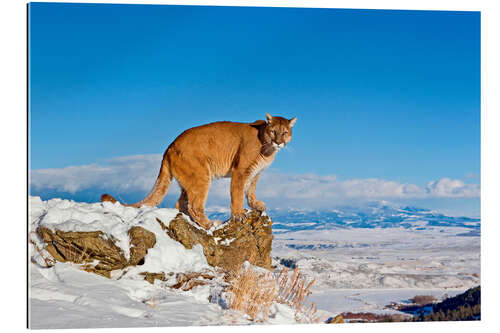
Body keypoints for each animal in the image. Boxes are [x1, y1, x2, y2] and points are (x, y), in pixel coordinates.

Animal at [101, 113, 296, 228]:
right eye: (274, 131)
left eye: (285, 132)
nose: (279, 142)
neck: (266, 147)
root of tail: (169, 147)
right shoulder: (240, 171)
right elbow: (238, 194)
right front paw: (238, 215)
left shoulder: (255, 173)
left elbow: (250, 190)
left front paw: (256, 205)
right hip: (201, 176)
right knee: (194, 205)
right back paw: (210, 224)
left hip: (189, 179)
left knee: (181, 203)